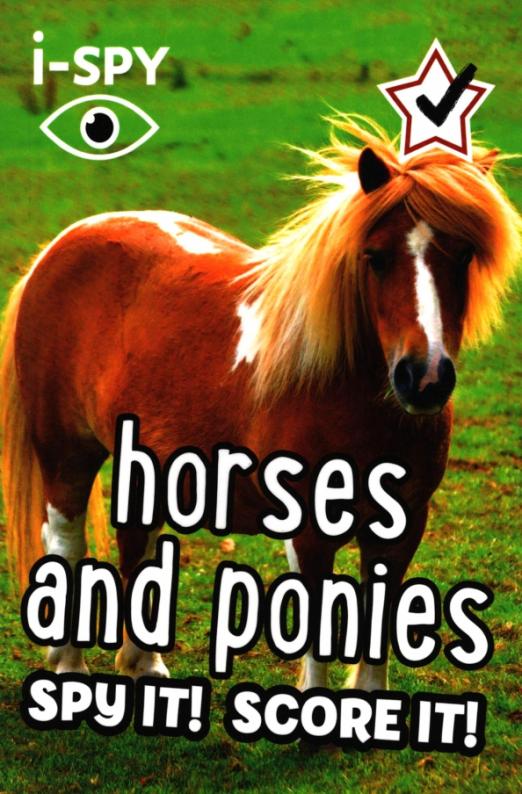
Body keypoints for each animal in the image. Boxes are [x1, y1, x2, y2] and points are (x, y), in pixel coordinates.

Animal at [1, 115, 519, 689]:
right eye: (376, 257)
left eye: (464, 254)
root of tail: (59, 246)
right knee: (66, 543)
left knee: (137, 542)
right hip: (66, 453)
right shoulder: (310, 528)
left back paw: (146, 666)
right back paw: (69, 665)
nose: (423, 378)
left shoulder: (404, 524)